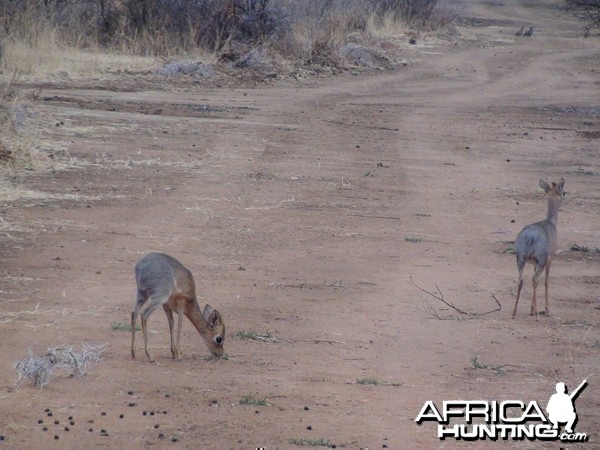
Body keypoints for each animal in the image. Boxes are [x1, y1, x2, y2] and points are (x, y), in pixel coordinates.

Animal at [512, 178, 564, 318]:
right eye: (564, 192)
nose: (565, 197)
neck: (552, 223)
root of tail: (531, 235)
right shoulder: (550, 257)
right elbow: (546, 281)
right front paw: (546, 309)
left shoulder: (534, 262)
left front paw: (532, 308)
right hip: (541, 259)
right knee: (535, 278)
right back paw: (537, 316)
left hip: (520, 258)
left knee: (522, 279)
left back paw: (514, 312)